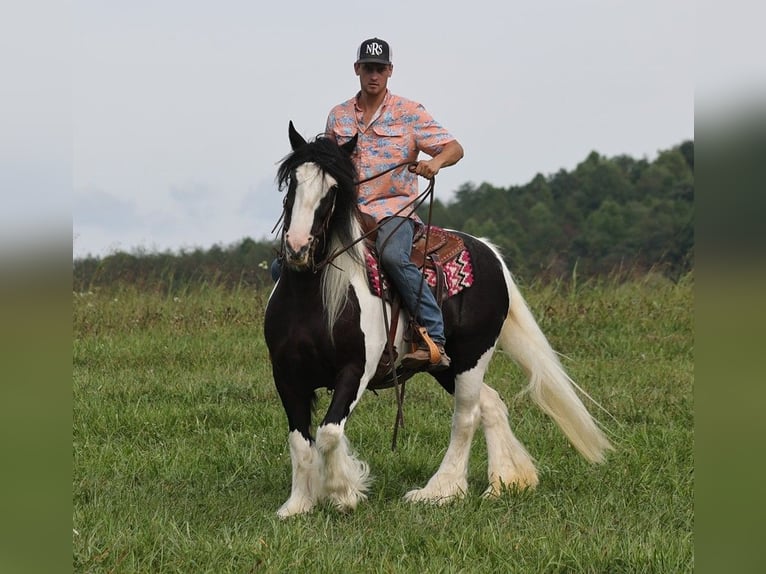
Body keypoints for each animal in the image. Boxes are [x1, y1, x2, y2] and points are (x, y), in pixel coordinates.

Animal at [268, 120, 616, 516]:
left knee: (466, 416)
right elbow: (300, 441)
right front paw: (297, 505)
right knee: (490, 403)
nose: (297, 247)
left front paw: (343, 493)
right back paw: (506, 482)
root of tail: (489, 253)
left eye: (333, 191)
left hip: (472, 357)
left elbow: (328, 433)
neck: (313, 298)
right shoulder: (286, 374)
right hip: (446, 365)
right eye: (292, 183)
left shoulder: (355, 371)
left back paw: (441, 490)